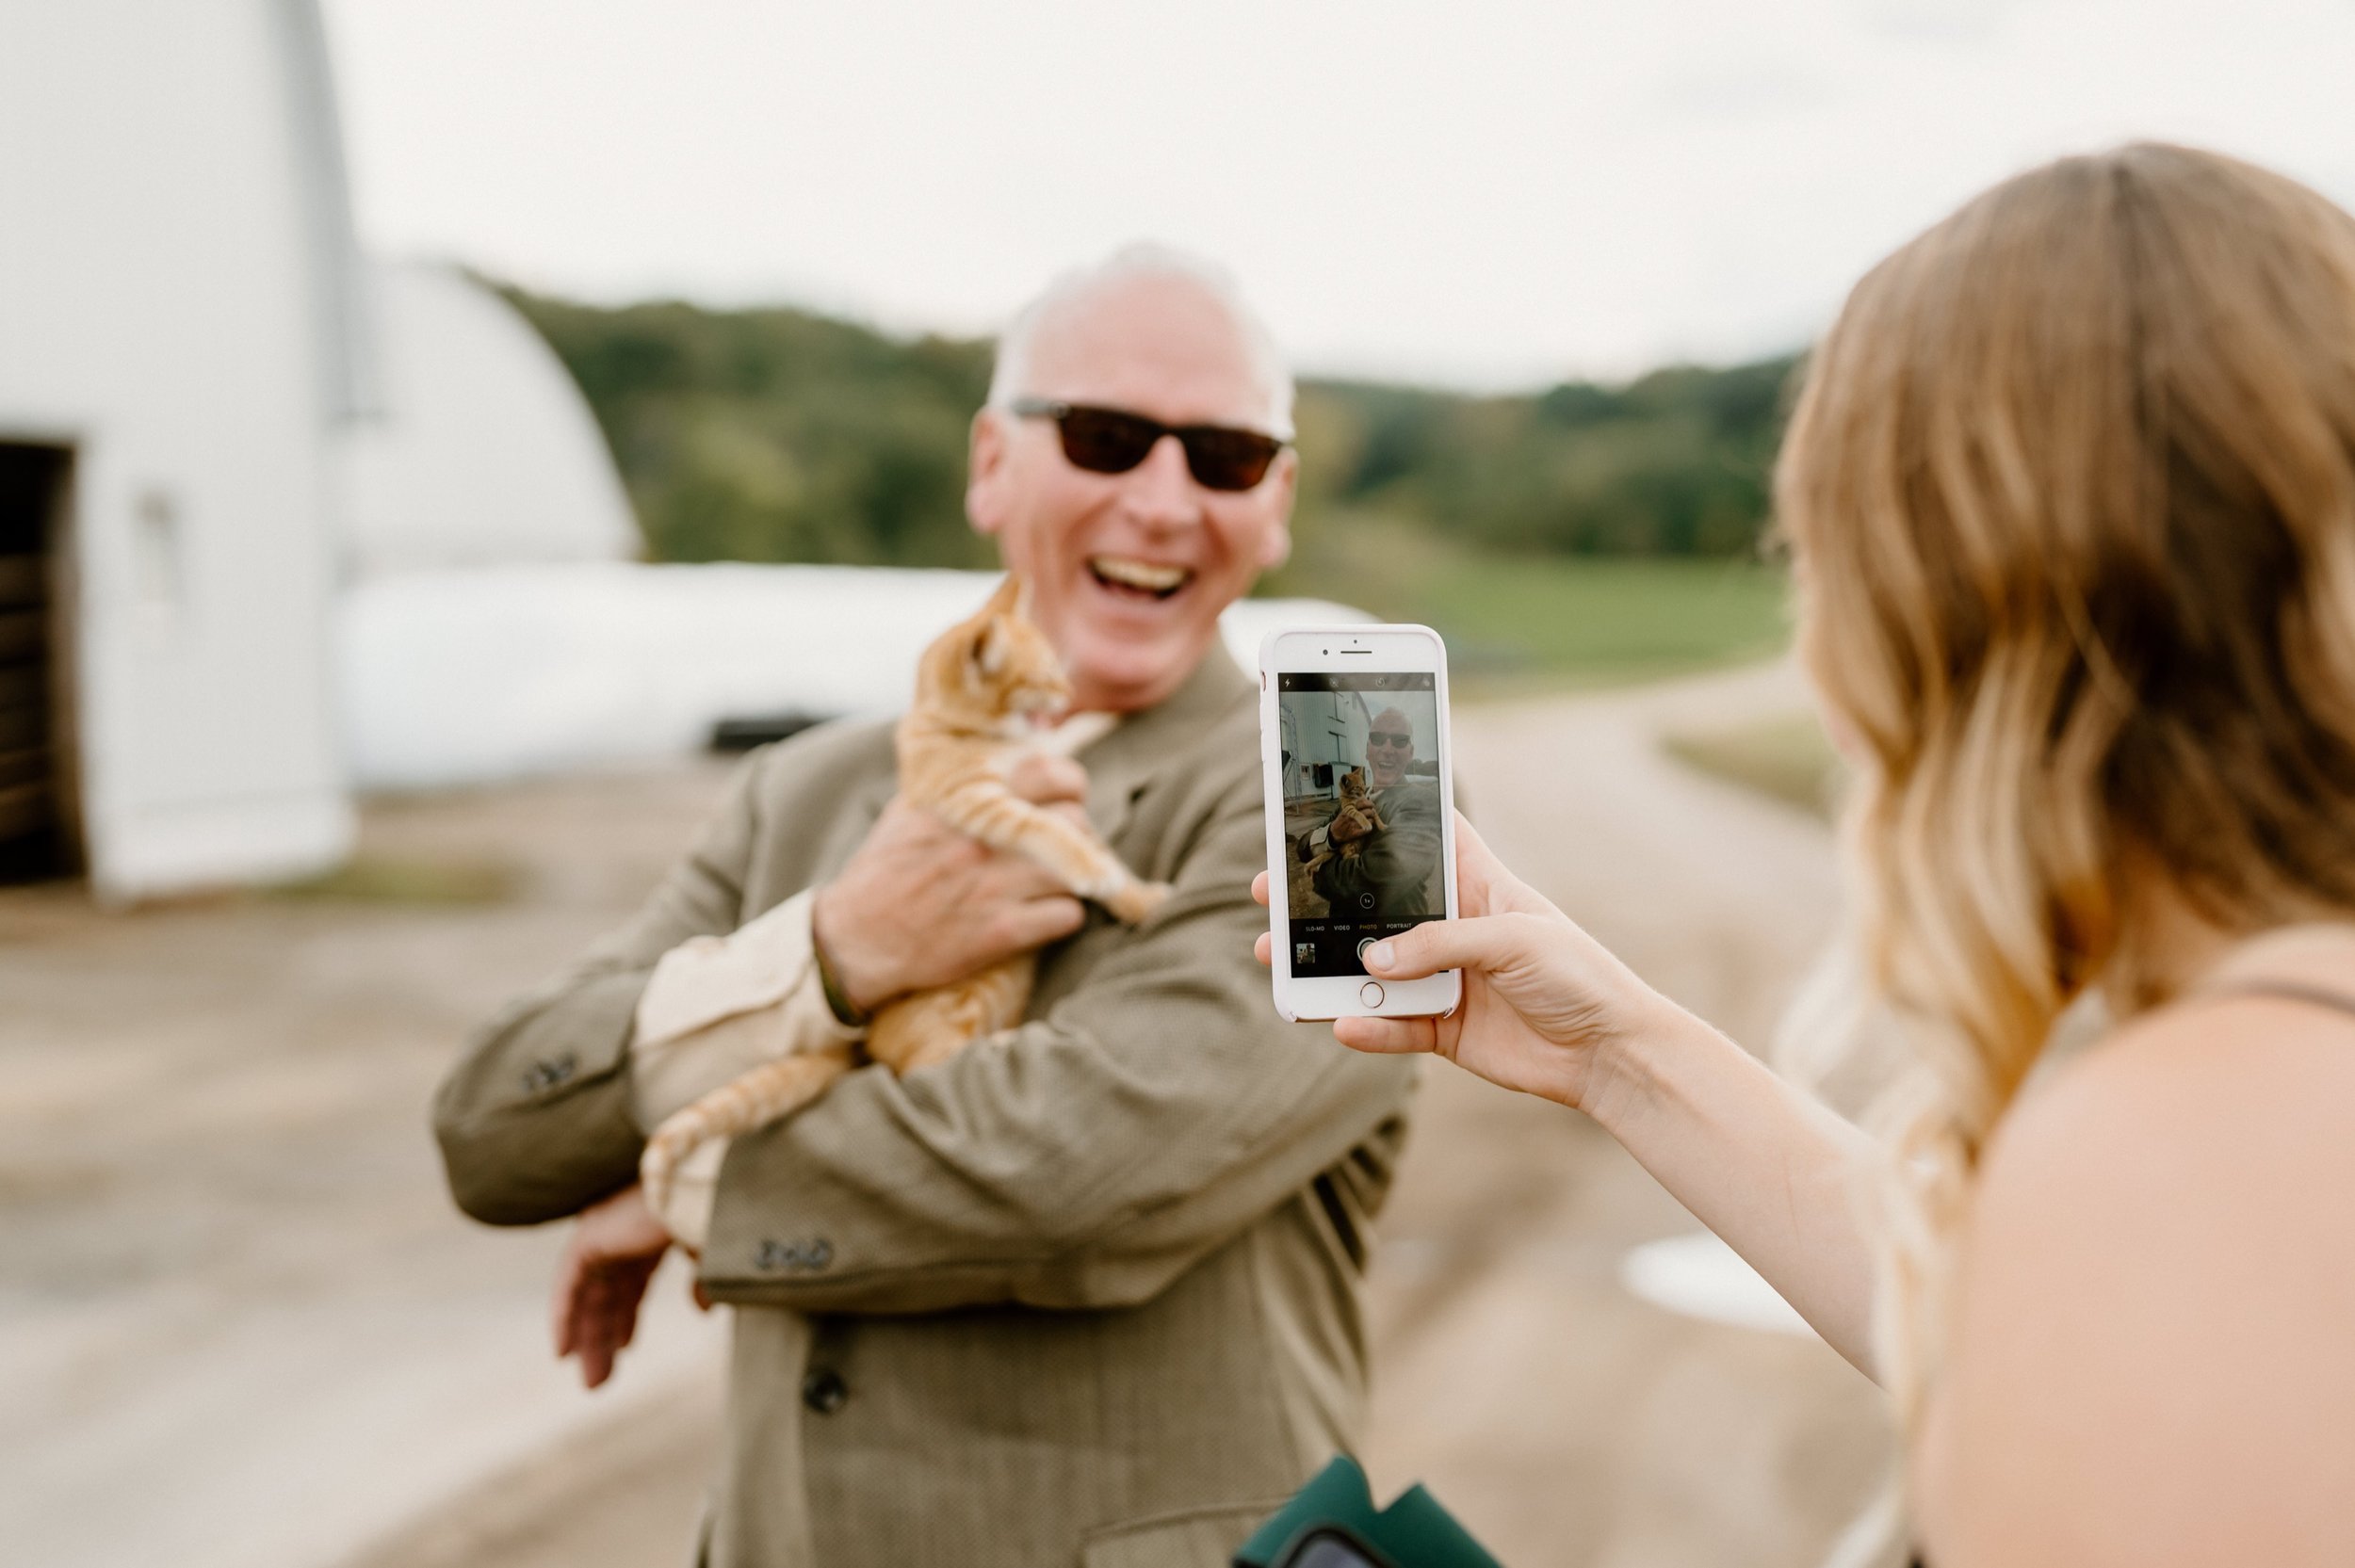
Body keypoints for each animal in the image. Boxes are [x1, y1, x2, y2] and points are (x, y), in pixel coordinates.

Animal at [641, 572, 1163, 1205]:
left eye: (1058, 675)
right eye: (1043, 676)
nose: (1068, 692)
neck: (970, 732)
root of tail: (861, 1043)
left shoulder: (1036, 762)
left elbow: (1070, 764)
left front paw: (1137, 889)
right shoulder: (982, 805)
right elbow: (1058, 838)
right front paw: (1104, 876)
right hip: (953, 1019)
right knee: (923, 1072)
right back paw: (992, 1048)